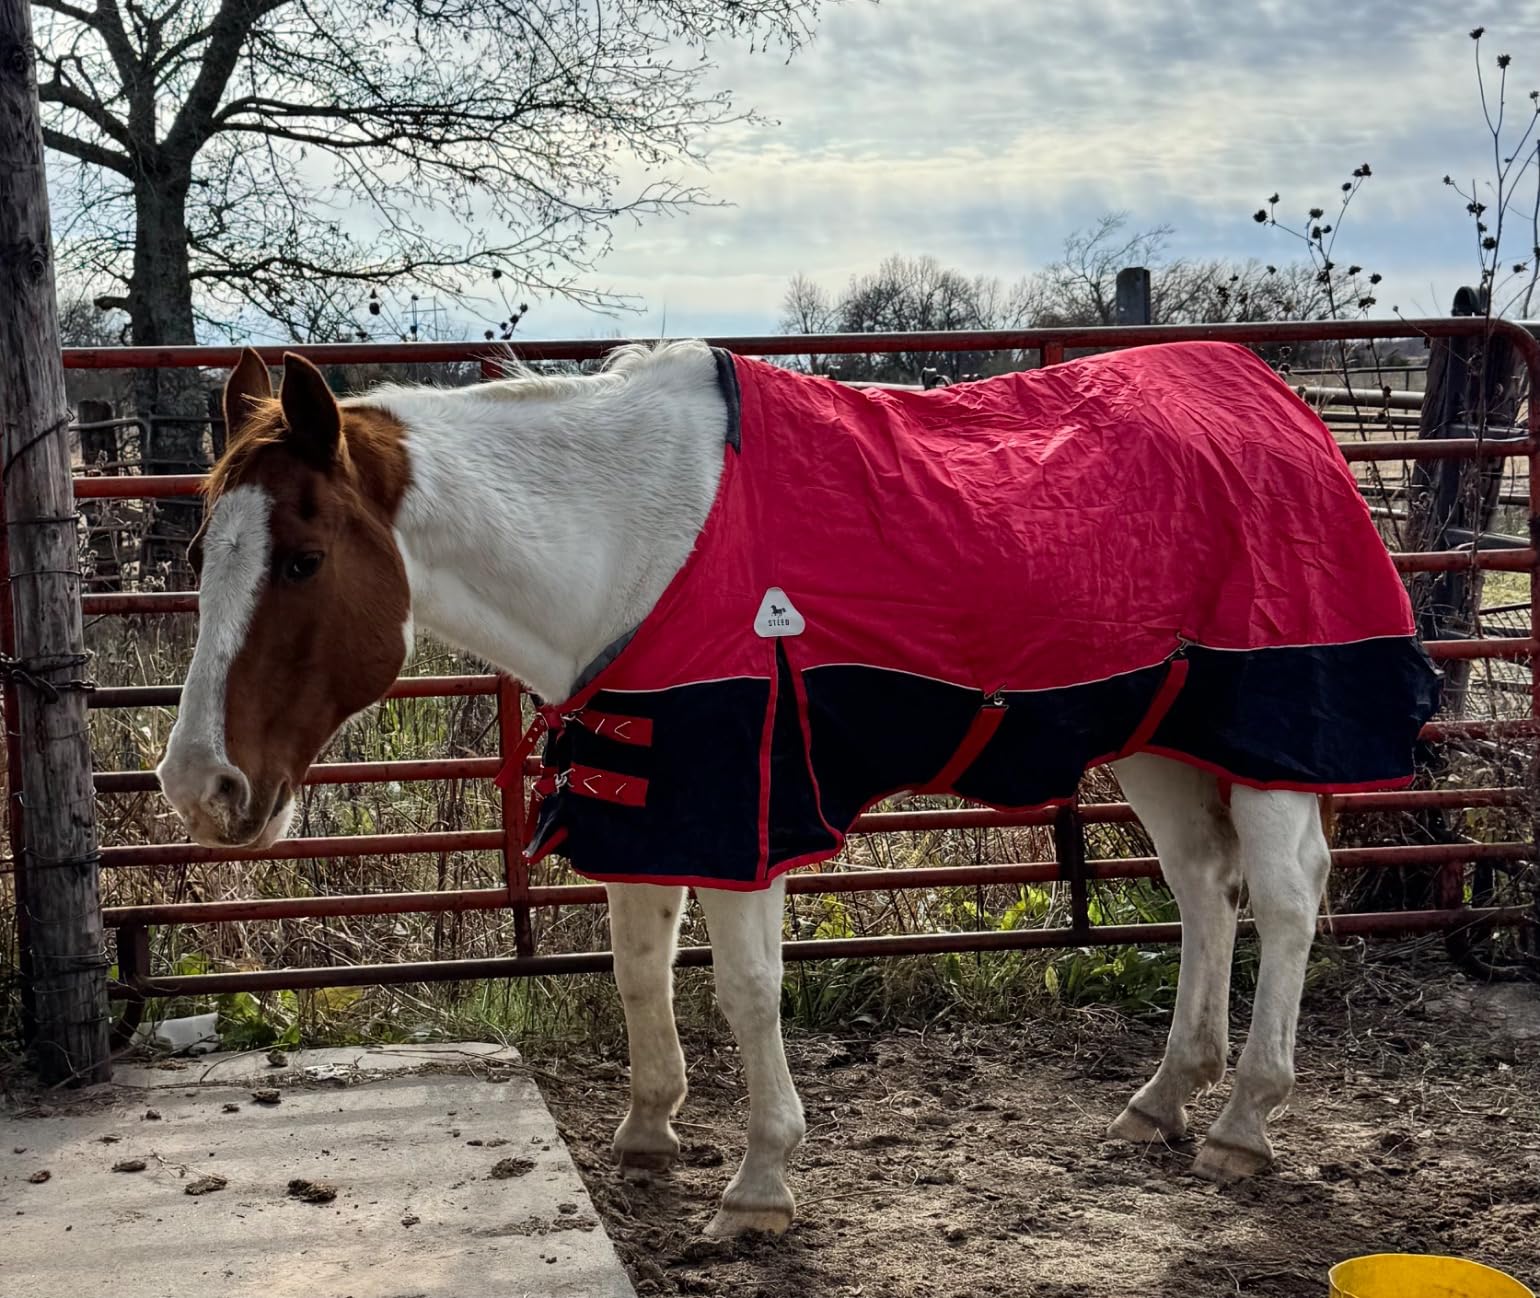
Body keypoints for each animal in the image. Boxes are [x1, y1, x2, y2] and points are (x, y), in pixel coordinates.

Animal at [158, 340, 1437, 1238]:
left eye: (302, 561)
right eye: (201, 556)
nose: (197, 784)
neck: (630, 541)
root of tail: (1285, 410)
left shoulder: (744, 801)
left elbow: (746, 990)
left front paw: (760, 1178)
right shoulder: (653, 793)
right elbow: (637, 967)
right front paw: (648, 1126)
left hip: (1273, 739)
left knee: (1283, 900)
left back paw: (1241, 1118)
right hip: (1157, 740)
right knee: (1203, 888)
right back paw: (1165, 1094)